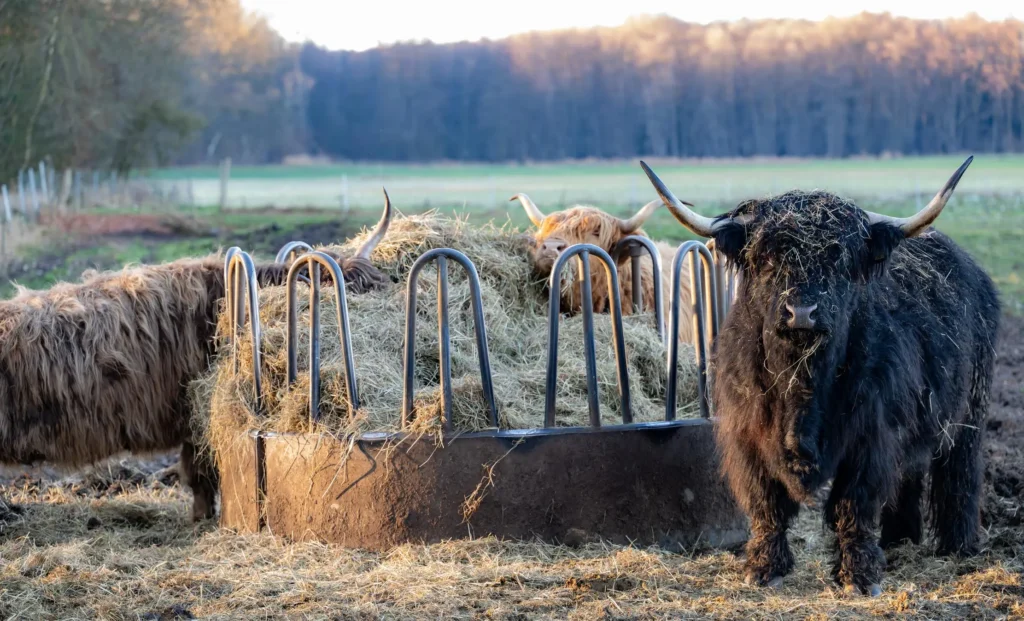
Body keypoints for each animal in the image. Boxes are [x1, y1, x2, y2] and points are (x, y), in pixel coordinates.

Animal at [640, 156, 999, 596]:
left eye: (839, 261)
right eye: (766, 258)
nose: (802, 311)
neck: (802, 382)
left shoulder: (871, 435)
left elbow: (854, 503)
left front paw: (859, 576)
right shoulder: (748, 435)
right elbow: (766, 502)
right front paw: (765, 568)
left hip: (969, 414)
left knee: (958, 476)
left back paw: (957, 547)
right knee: (909, 476)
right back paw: (899, 540)